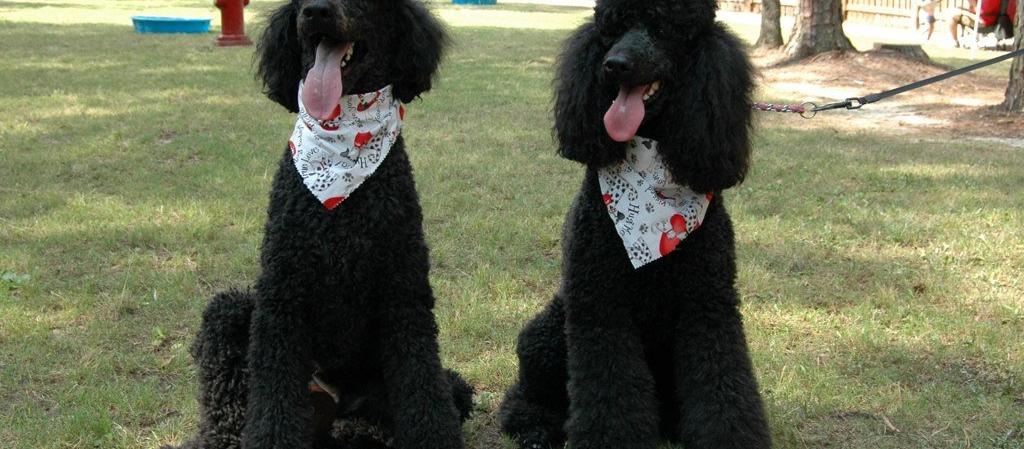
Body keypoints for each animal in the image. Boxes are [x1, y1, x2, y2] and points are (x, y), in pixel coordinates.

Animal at [167, 1, 472, 448]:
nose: (315, 11)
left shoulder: (404, 292)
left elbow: (422, 386)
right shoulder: (281, 298)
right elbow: (274, 402)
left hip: (422, 388)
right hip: (232, 315)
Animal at [498, 0, 772, 449]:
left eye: (664, 30)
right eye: (614, 28)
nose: (614, 65)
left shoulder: (708, 306)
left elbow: (721, 385)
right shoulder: (601, 306)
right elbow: (612, 390)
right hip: (546, 335)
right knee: (525, 392)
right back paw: (533, 424)